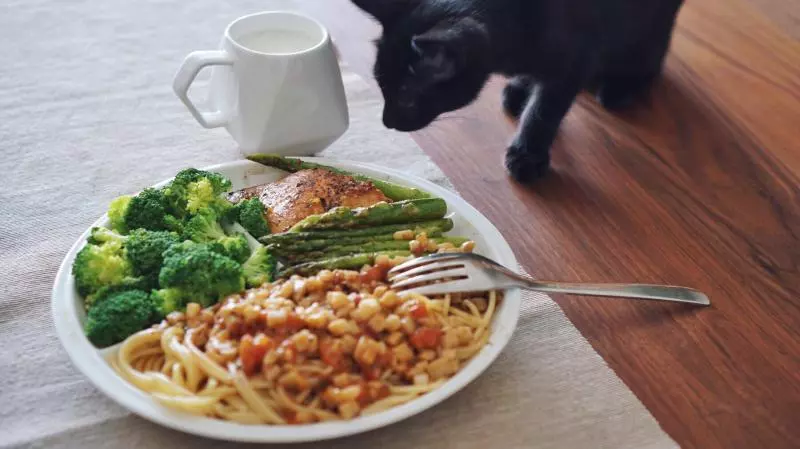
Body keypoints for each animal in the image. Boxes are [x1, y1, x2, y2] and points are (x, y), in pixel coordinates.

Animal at [354, 0, 684, 183]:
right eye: (380, 85)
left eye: (406, 97)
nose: (387, 122)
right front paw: (521, 87)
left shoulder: (576, 59)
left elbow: (544, 110)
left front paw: (527, 155)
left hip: (644, 35)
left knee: (648, 61)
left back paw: (620, 88)